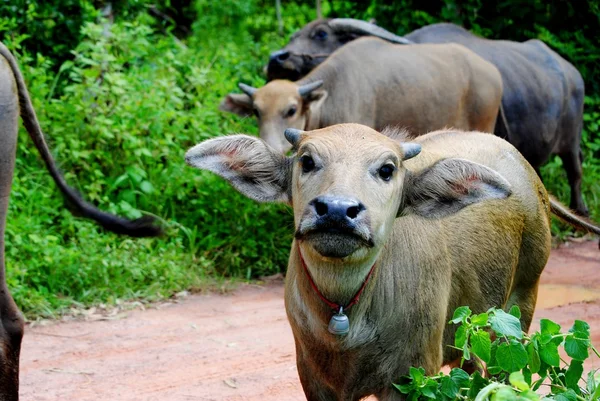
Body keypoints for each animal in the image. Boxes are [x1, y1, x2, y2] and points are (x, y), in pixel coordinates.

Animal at [185, 123, 596, 398]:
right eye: (307, 161)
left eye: (386, 169)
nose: (337, 210)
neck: (347, 315)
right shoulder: (313, 378)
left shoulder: (410, 375)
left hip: (518, 310)